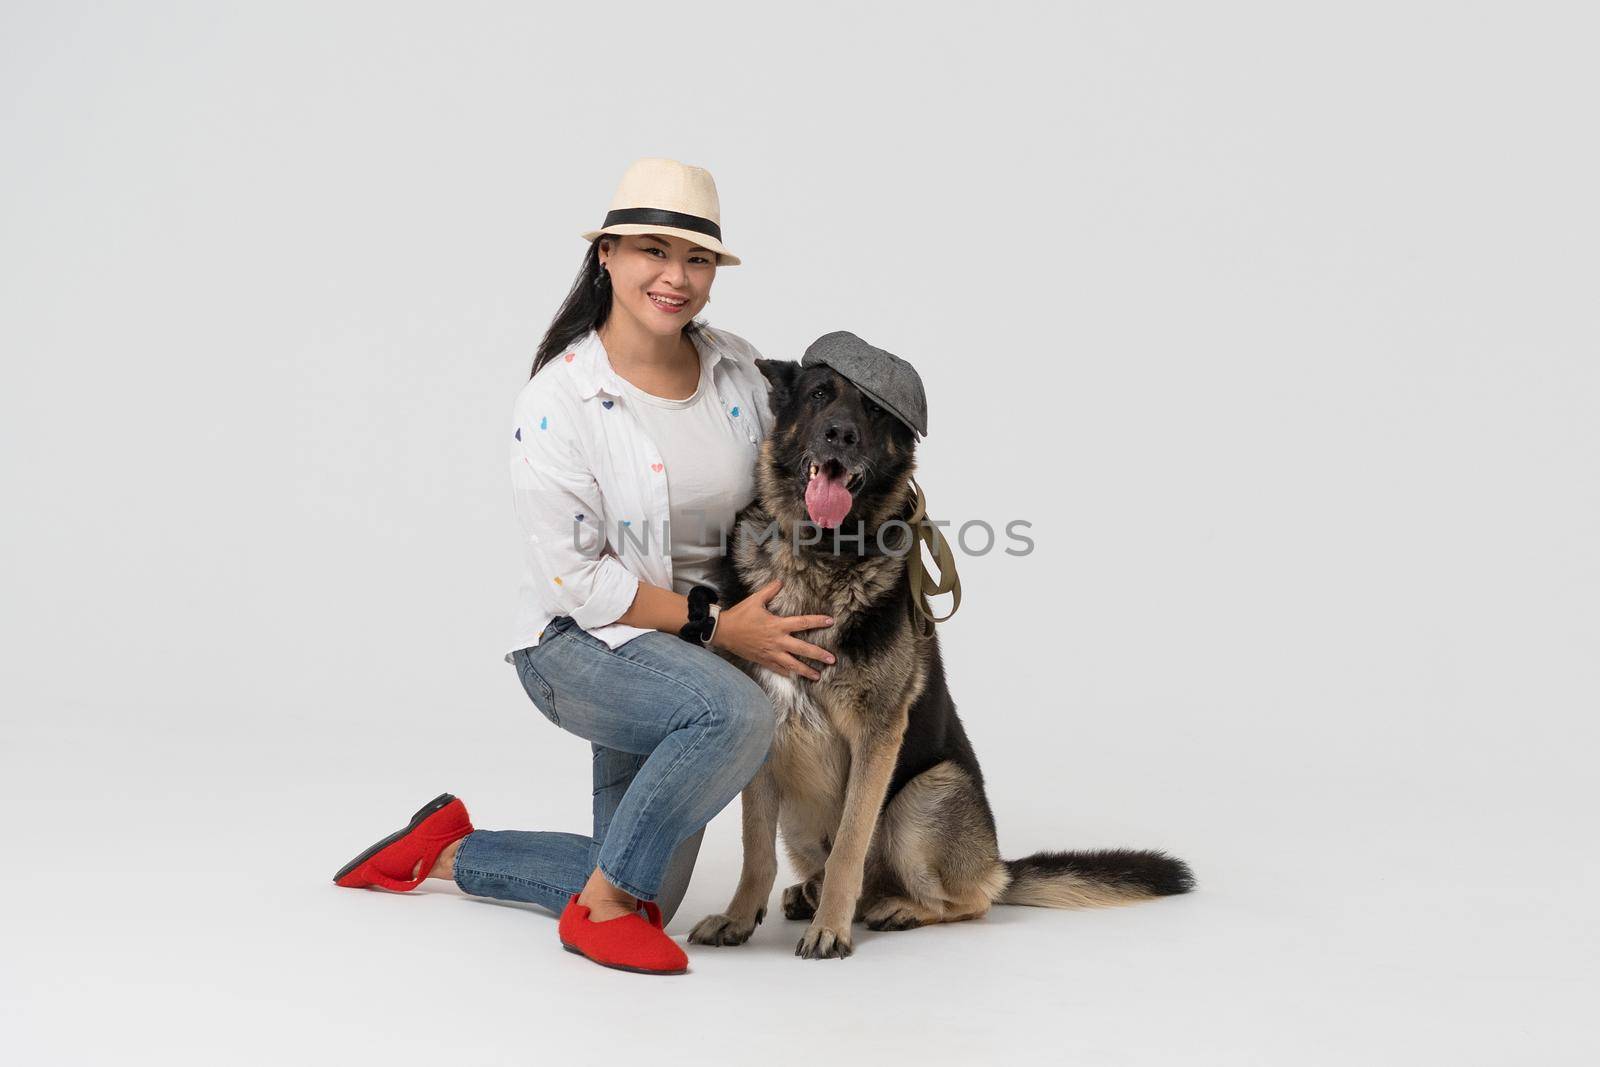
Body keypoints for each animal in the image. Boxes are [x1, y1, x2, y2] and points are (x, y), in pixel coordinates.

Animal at [681, 356, 1196, 959]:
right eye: (819, 394)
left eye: (874, 410)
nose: (841, 435)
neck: (821, 561)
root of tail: (998, 862)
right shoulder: (766, 743)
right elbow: (754, 850)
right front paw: (739, 918)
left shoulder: (877, 738)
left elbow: (850, 845)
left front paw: (831, 929)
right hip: (804, 818)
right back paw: (809, 894)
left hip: (924, 797)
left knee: (965, 899)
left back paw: (893, 908)